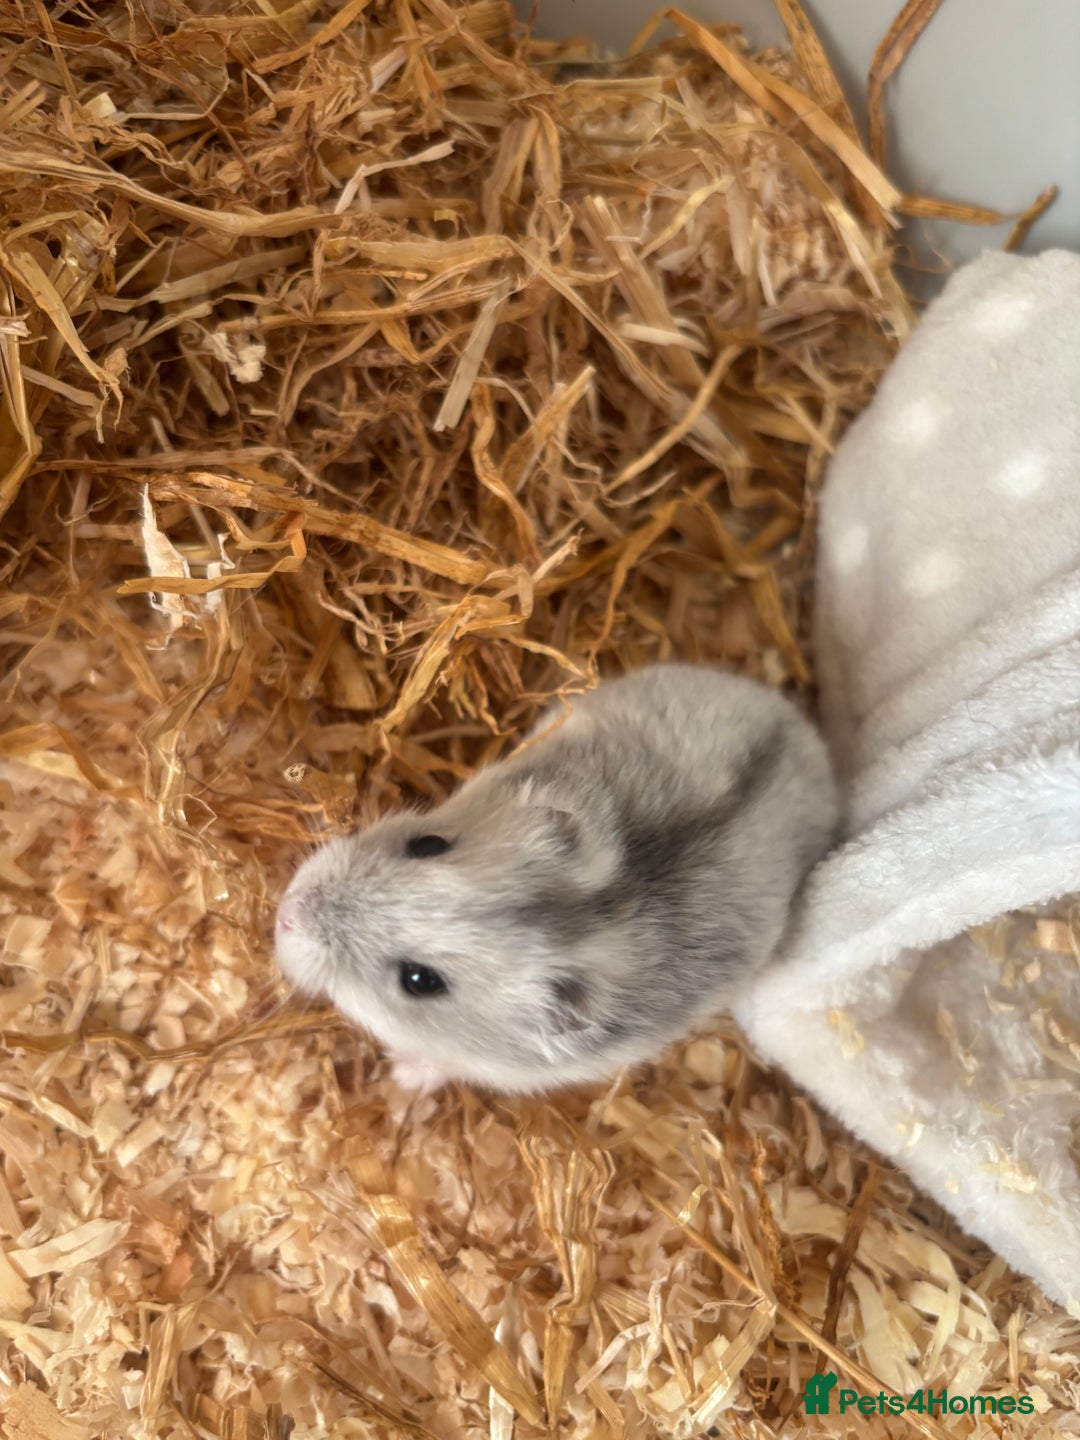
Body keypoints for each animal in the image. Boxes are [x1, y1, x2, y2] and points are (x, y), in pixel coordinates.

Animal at [274, 663, 839, 1095]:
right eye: (427, 844)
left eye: (419, 981)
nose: (285, 913)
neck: (603, 910)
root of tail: (805, 731)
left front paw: (400, 1078)